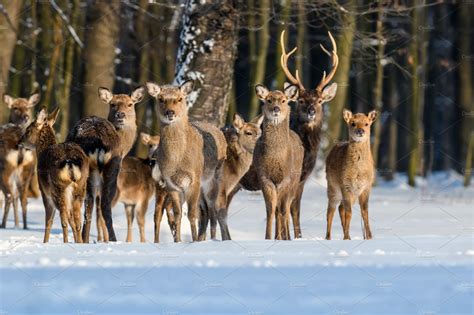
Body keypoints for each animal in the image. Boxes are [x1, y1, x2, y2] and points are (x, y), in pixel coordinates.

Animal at [66, 86, 144, 242]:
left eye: (130, 104)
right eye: (112, 104)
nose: (120, 115)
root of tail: (97, 143)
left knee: (86, 204)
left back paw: (84, 239)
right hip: (111, 166)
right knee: (103, 204)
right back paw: (112, 239)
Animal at [280, 29, 338, 238]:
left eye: (320, 100)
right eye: (302, 100)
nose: (312, 111)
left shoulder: (303, 178)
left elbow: (295, 209)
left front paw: (298, 236)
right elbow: (290, 207)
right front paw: (292, 237)